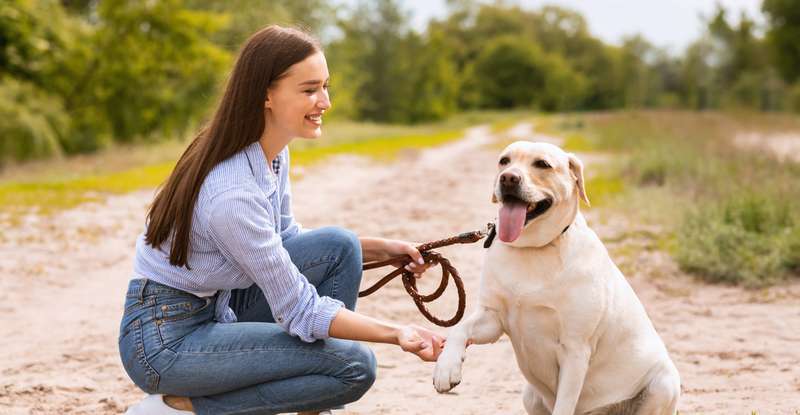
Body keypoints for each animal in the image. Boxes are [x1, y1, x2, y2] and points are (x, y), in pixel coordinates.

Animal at [434, 141, 680, 414]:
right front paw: (446, 368)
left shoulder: (575, 349)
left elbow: (564, 405)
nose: (508, 178)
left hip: (664, 384)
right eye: (504, 161)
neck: (533, 248)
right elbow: (459, 328)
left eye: (542, 164)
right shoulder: (493, 318)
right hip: (530, 396)